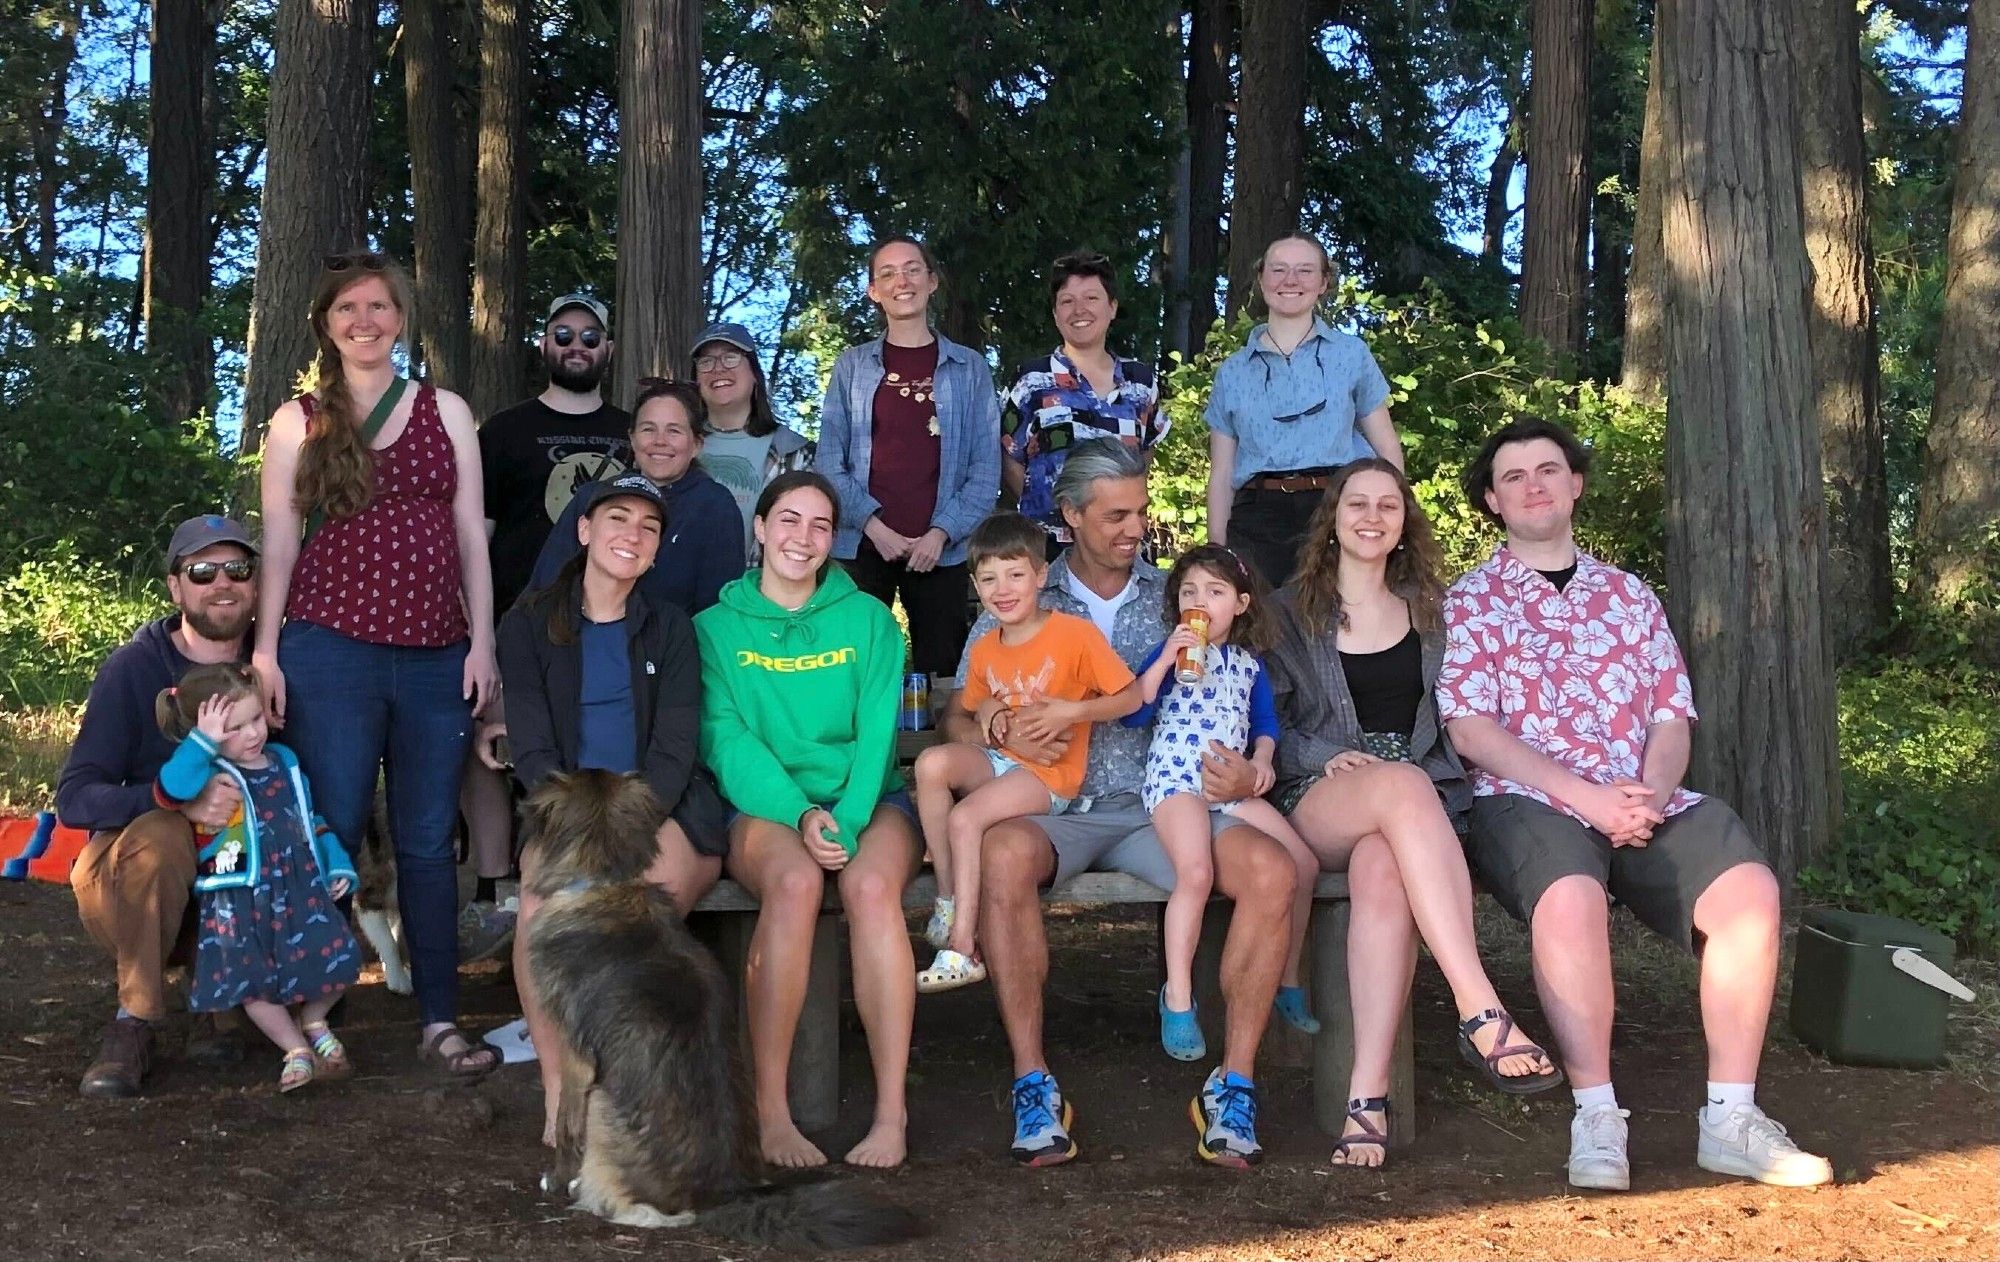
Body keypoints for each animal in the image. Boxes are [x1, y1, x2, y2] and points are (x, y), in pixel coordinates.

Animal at [520, 772, 916, 1256]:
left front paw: (557, 1179)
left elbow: (565, 1126)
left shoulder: (576, 1057)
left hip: (603, 1104)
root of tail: (721, 1192)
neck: (604, 881)